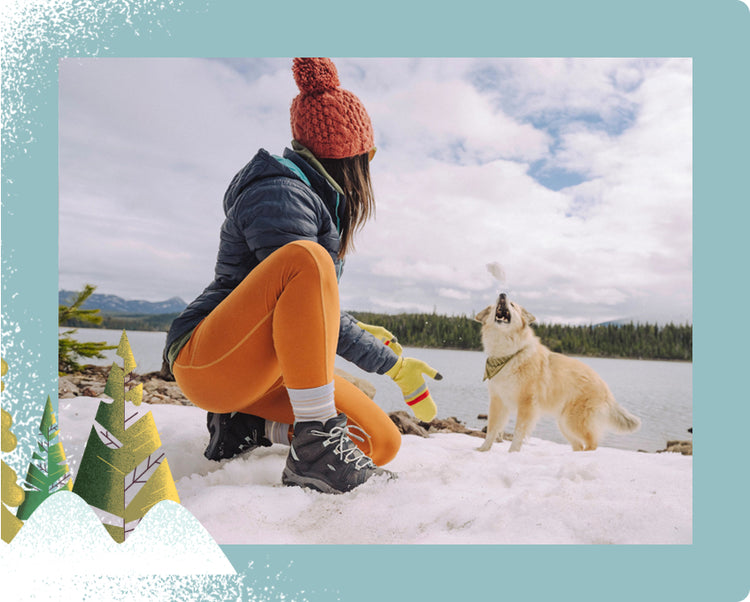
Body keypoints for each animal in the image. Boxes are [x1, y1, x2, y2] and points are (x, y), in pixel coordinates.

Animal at [476, 290, 640, 450]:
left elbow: (518, 433)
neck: (508, 353)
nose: (502, 294)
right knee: (579, 445)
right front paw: (483, 450)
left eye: (512, 305)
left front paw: (512, 453)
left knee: (592, 444)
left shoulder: (526, 404)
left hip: (574, 422)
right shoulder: (498, 401)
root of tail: (605, 388)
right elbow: (491, 430)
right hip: (564, 424)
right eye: (497, 303)